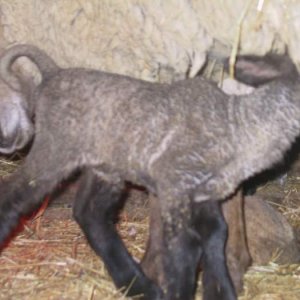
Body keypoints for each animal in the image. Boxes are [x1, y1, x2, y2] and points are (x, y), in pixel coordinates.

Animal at [0, 44, 298, 300]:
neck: (238, 126)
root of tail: (53, 72)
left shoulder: (203, 193)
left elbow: (216, 235)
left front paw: (218, 290)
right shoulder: (174, 186)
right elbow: (184, 248)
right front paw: (180, 291)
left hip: (105, 165)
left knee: (90, 213)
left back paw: (138, 285)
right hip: (55, 150)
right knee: (13, 196)